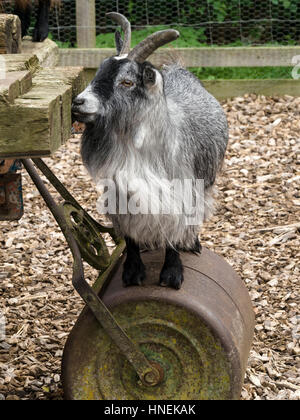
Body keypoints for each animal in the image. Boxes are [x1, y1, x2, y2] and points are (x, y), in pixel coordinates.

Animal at [72, 12, 227, 288]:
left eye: (127, 81)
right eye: (98, 71)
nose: (78, 103)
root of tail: (178, 69)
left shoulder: (179, 191)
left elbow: (175, 228)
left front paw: (172, 274)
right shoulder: (120, 193)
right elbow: (129, 234)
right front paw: (133, 272)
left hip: (206, 179)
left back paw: (193, 243)